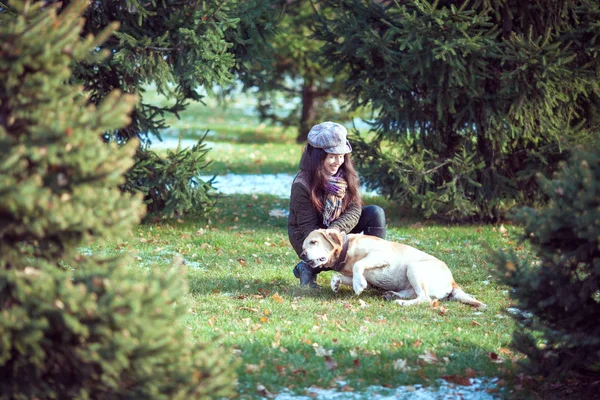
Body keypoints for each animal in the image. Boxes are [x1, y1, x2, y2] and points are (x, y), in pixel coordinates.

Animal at [302, 228, 486, 310]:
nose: (303, 255)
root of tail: (453, 281)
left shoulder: (380, 255)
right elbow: (341, 275)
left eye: (313, 242)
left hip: (413, 267)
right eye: (303, 247)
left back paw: (401, 302)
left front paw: (358, 285)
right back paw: (392, 295)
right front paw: (336, 284)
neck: (347, 251)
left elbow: (358, 266)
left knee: (425, 299)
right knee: (415, 294)